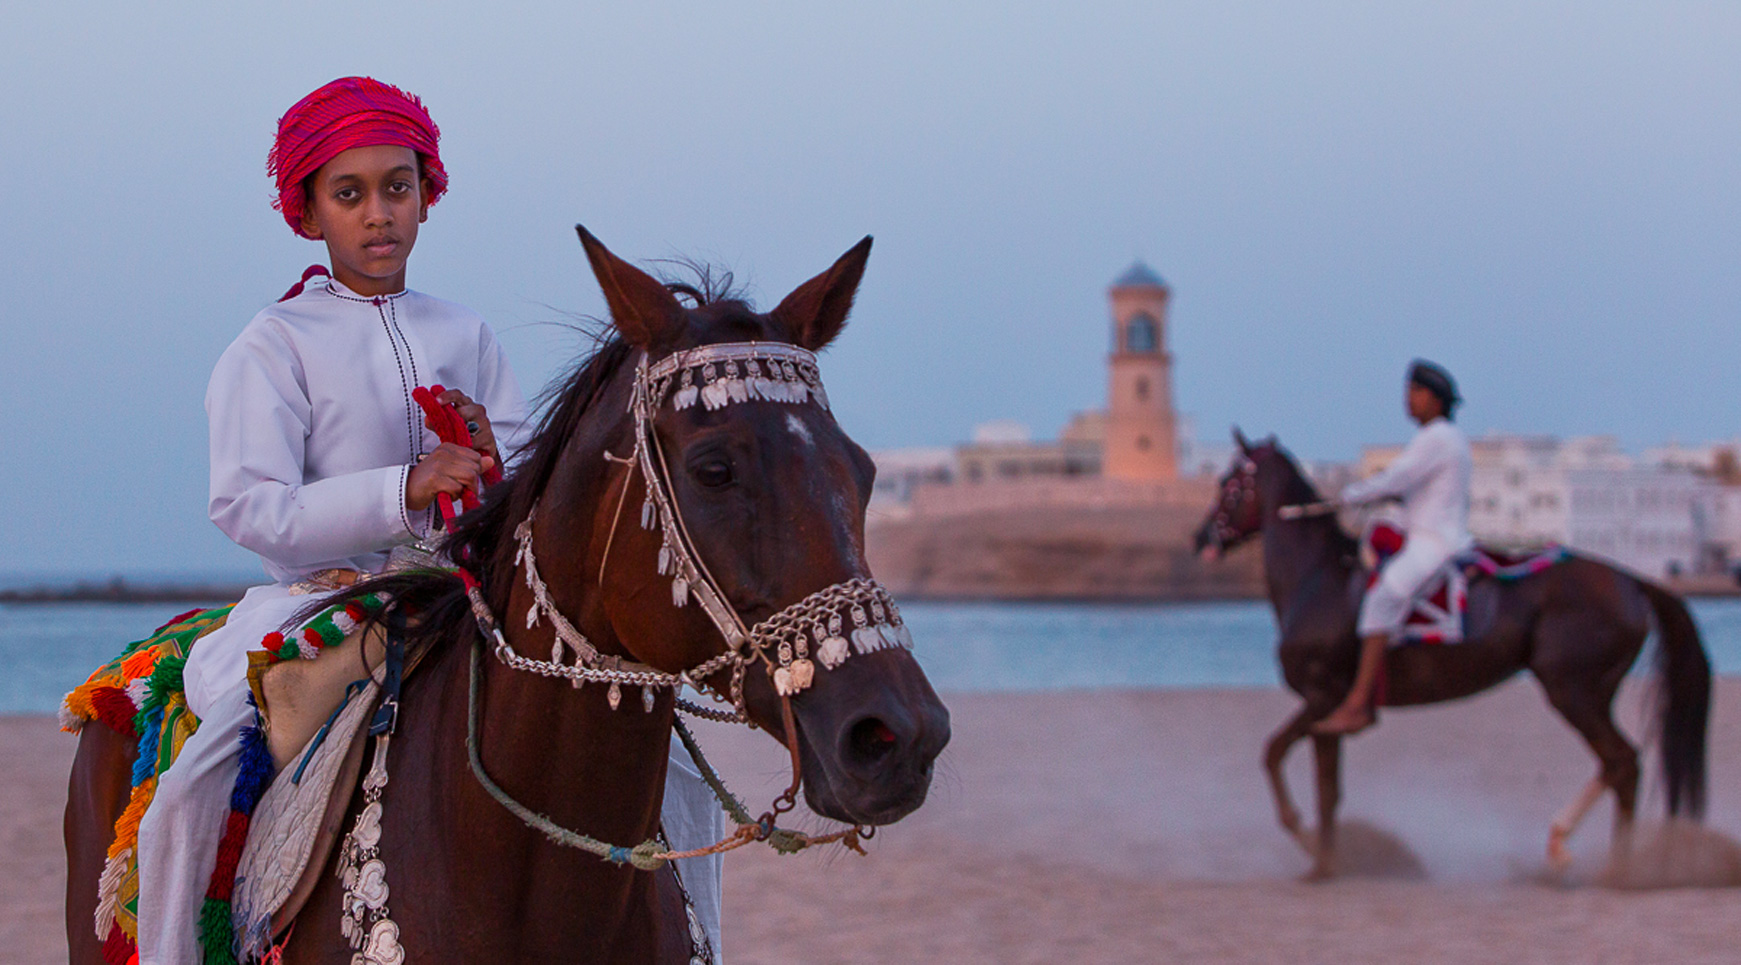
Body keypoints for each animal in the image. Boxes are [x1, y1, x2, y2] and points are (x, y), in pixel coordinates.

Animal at [1192, 431, 1709, 880]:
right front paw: (1326, 856)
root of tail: (1632, 581)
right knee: (1617, 765)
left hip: (1573, 692)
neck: (1321, 577)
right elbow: (1315, 779)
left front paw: (1316, 851)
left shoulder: (1324, 700)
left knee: (1623, 763)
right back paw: (1573, 848)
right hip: (1589, 696)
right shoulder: (1325, 713)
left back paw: (1613, 866)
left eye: (1229, 483)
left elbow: (1285, 762)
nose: (1201, 538)